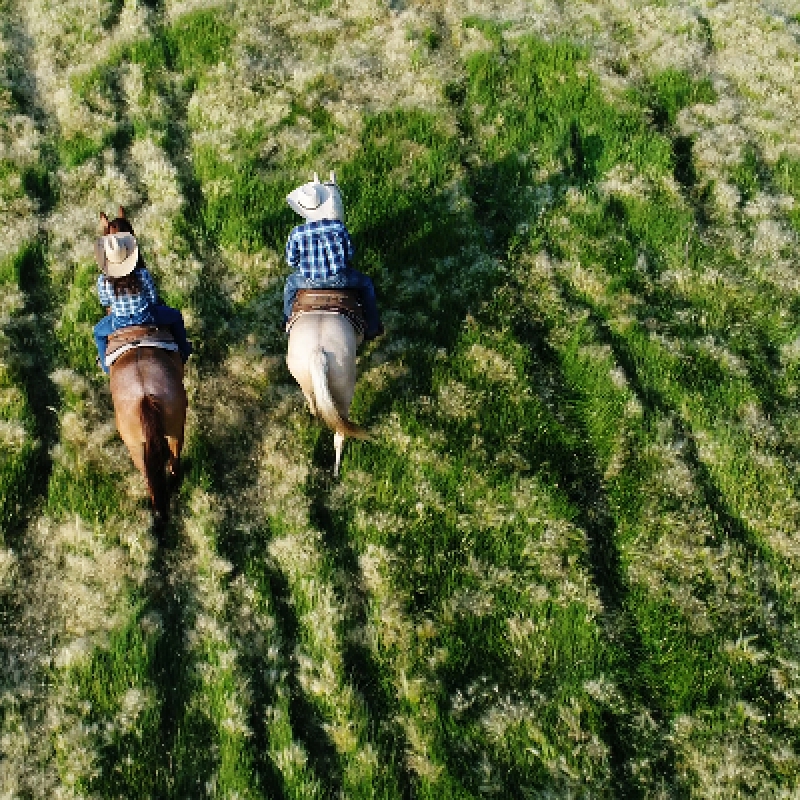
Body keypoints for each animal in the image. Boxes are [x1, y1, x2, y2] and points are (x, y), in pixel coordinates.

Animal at [286, 310, 369, 476]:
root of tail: (318, 354)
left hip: (304, 382)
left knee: (312, 403)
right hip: (344, 395)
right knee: (340, 434)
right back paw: (336, 471)